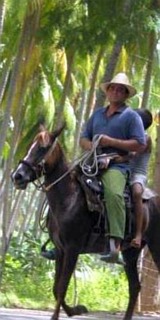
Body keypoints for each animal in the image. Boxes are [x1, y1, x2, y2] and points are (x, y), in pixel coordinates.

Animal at [11, 126, 160, 320]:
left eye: (42, 149)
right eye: (30, 146)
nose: (17, 176)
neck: (68, 199)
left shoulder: (73, 249)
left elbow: (62, 287)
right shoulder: (60, 250)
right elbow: (56, 288)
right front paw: (76, 309)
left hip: (156, 247)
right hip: (131, 252)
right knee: (135, 287)